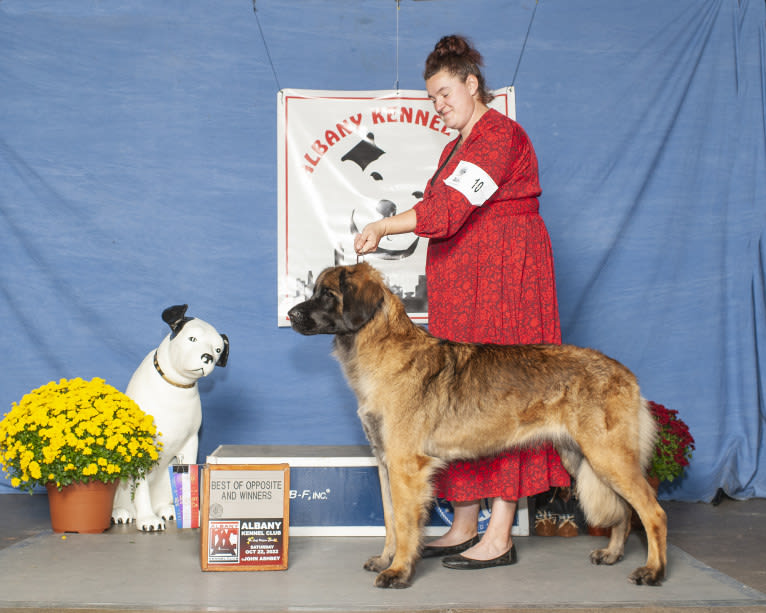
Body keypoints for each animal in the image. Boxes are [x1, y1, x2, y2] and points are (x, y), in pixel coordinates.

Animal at [288, 262, 664, 588]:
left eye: (327, 294)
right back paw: (613, 553)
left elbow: (406, 524)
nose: (291, 315)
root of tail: (625, 373)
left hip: (608, 457)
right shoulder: (384, 462)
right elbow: (390, 520)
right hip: (583, 458)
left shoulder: (405, 466)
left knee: (652, 511)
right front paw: (386, 559)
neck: (383, 349)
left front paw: (399, 571)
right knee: (625, 510)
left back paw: (653, 570)